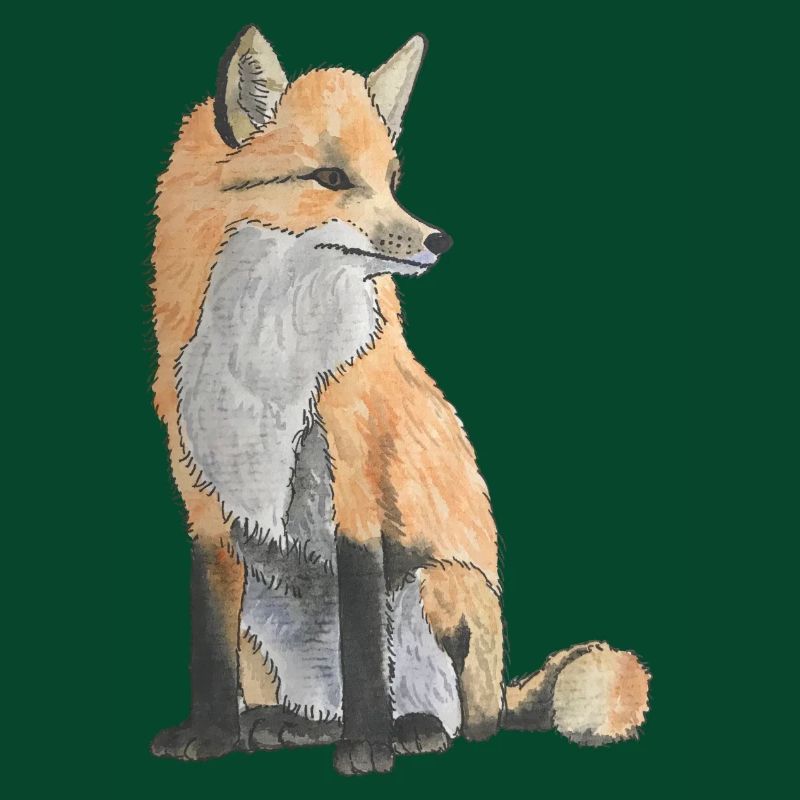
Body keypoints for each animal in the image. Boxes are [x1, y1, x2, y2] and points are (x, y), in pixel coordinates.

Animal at [150, 25, 650, 775]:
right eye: (331, 178)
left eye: (391, 181)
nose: (438, 240)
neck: (267, 353)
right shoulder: (206, 504)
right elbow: (208, 645)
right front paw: (208, 736)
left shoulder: (355, 485)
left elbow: (364, 644)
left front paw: (368, 747)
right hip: (263, 613)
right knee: (312, 705)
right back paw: (281, 724)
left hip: (437, 589)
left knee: (467, 721)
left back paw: (409, 729)